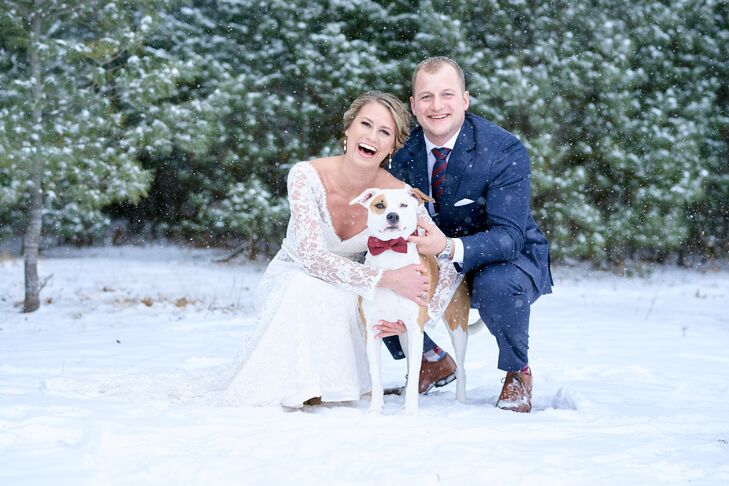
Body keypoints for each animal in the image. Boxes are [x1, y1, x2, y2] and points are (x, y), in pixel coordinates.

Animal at [352, 186, 474, 414]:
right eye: (379, 205)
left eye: (403, 205)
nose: (392, 216)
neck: (391, 254)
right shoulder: (373, 330)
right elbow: (376, 377)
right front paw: (375, 410)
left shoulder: (416, 329)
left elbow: (417, 369)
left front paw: (410, 412)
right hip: (403, 334)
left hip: (457, 325)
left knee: (461, 368)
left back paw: (460, 403)